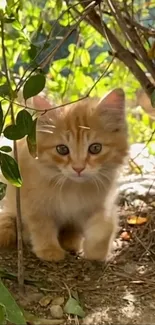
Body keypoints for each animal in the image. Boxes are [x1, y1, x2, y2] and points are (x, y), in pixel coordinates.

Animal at [0, 88, 128, 260]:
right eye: (62, 149)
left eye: (95, 148)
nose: (78, 168)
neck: (72, 188)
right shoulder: (32, 202)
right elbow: (41, 226)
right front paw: (49, 249)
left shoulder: (101, 204)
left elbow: (104, 227)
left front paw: (96, 252)